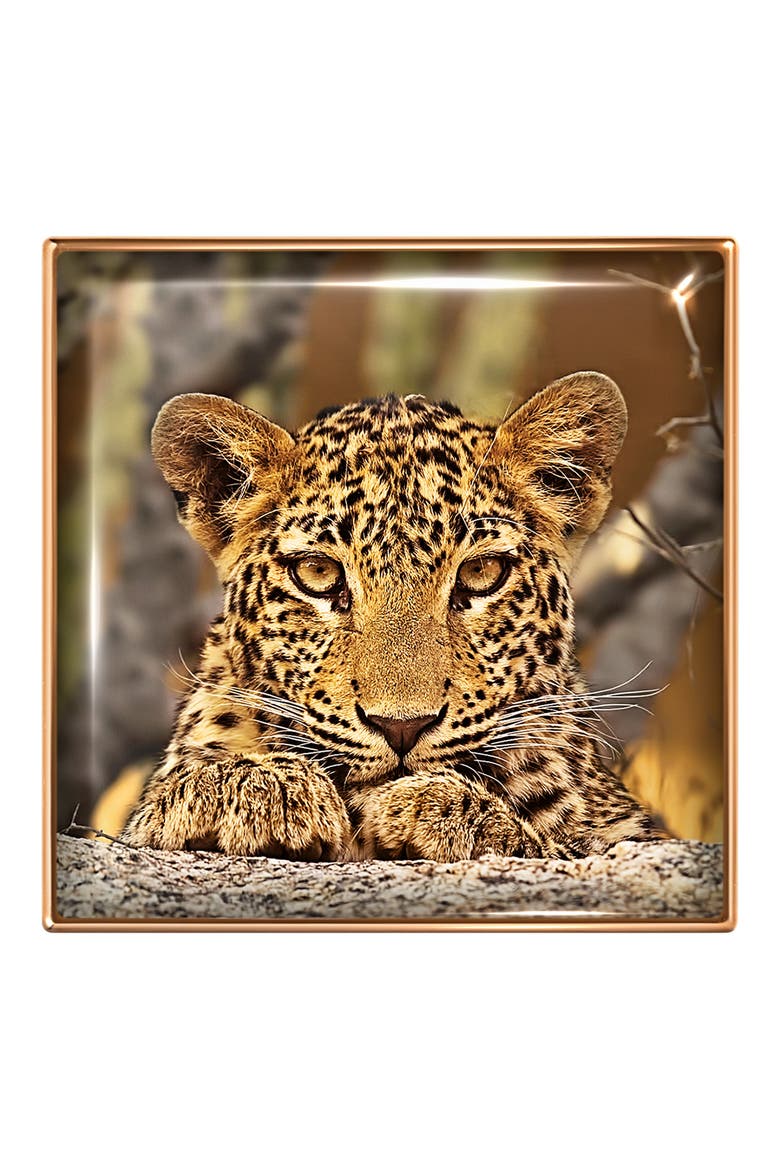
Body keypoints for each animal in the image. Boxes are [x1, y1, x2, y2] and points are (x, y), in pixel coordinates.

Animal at [123, 371, 665, 861]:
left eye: (482, 572)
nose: (402, 726)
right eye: (318, 573)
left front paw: (442, 809)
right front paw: (249, 788)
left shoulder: (631, 834)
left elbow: (561, 845)